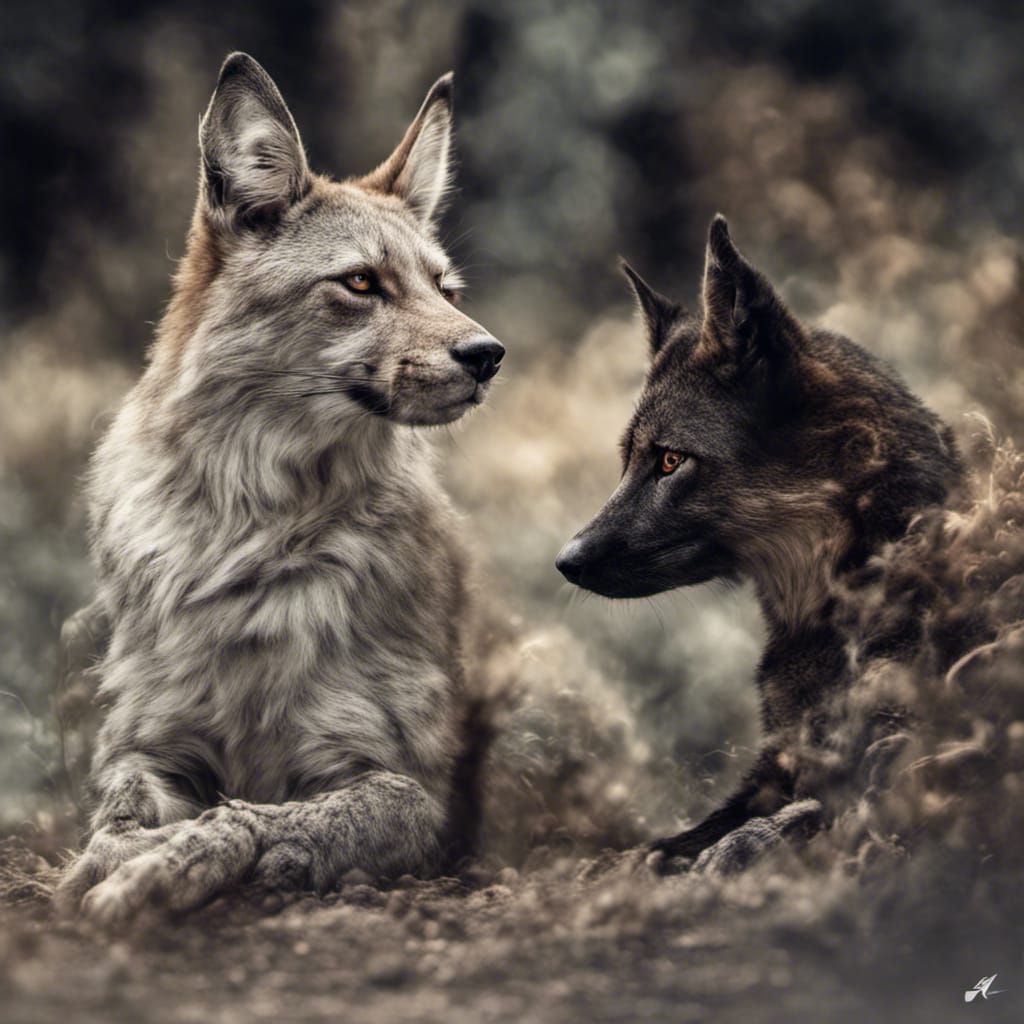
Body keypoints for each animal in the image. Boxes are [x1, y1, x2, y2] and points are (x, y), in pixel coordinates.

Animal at [55, 52, 504, 923]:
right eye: (361, 283)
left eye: (446, 290)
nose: (488, 355)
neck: (256, 529)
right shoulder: (143, 743)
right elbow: (115, 819)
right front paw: (122, 857)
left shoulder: (413, 789)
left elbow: (261, 814)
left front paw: (167, 863)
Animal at [556, 215, 963, 868]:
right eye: (628, 462)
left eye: (670, 460)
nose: (565, 561)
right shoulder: (772, 771)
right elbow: (659, 845)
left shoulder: (908, 763)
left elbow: (813, 816)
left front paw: (736, 851)